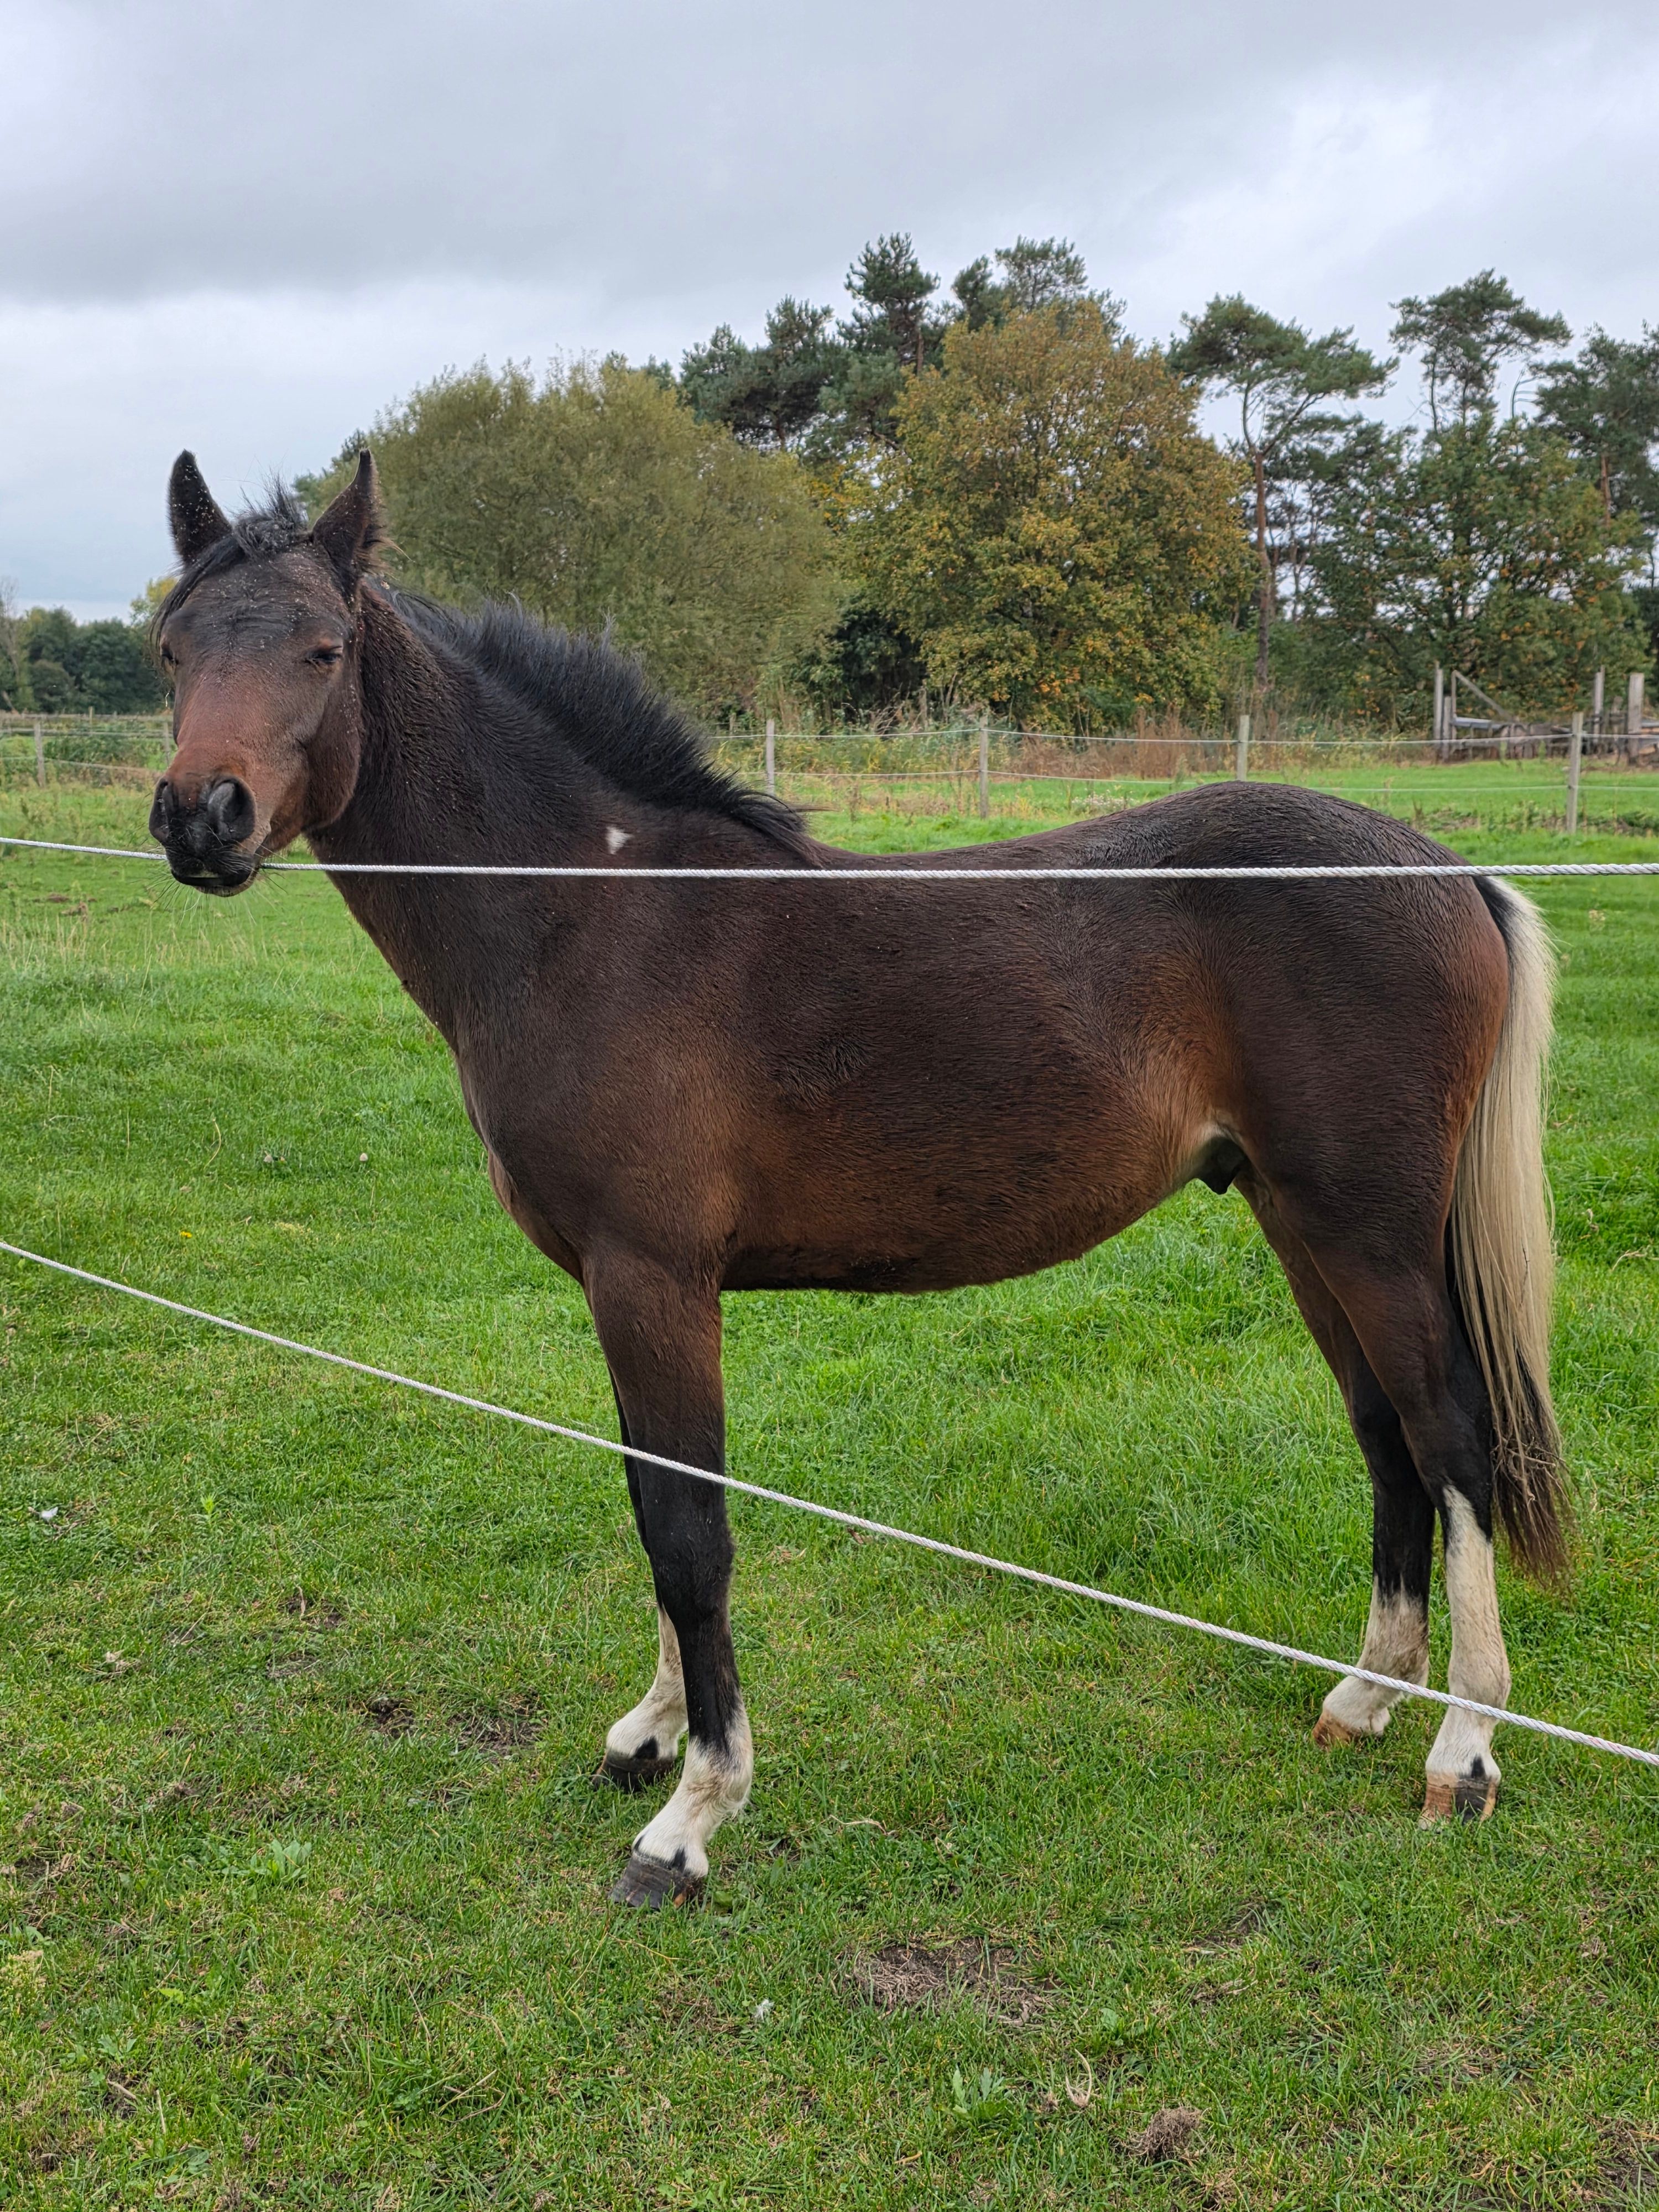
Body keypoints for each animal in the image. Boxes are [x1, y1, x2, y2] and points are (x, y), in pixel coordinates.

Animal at [147, 451, 1566, 1906]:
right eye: (171, 646)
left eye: (321, 647)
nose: (203, 816)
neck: (590, 915)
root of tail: (1448, 868)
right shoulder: (621, 1286)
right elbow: (652, 1505)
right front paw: (650, 1735)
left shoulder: (651, 1277)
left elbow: (688, 1528)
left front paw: (693, 1812)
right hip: (1302, 1221)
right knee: (1387, 1437)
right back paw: (1364, 1698)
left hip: (1371, 1234)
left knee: (1455, 1441)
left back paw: (1461, 1749)